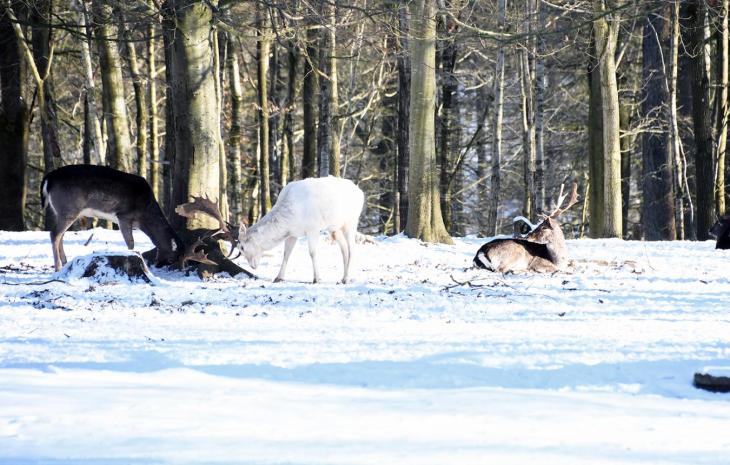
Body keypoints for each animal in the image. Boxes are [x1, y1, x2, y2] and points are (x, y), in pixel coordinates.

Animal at [41, 164, 183, 270]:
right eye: (173, 258)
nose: (159, 265)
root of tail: (48, 178)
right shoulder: (124, 215)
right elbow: (130, 242)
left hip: (62, 211)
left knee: (61, 235)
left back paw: (65, 262)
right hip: (69, 209)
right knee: (54, 234)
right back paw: (58, 267)